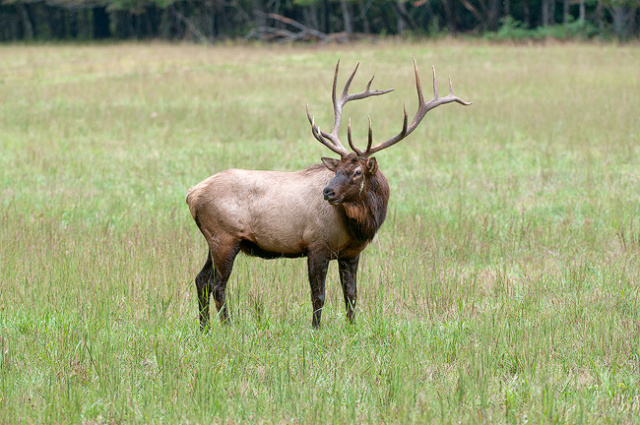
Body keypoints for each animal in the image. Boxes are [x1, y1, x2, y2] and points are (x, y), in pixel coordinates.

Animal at [185, 58, 470, 328]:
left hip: (214, 241)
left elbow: (351, 295)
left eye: (357, 172)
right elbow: (318, 295)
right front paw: (316, 329)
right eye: (337, 169)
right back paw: (227, 326)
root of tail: (192, 194)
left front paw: (352, 328)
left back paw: (204, 328)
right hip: (225, 237)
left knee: (201, 280)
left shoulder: (351, 253)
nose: (328, 192)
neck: (360, 226)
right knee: (218, 286)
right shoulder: (317, 245)